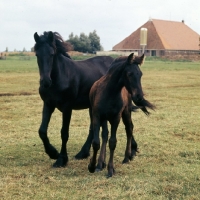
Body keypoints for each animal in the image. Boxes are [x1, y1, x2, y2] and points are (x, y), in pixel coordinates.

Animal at [33, 31, 114, 167]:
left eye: (52, 54)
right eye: (37, 54)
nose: (45, 82)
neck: (60, 77)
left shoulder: (67, 108)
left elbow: (64, 133)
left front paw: (61, 159)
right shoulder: (48, 105)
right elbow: (42, 131)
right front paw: (53, 153)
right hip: (92, 107)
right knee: (92, 128)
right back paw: (82, 153)